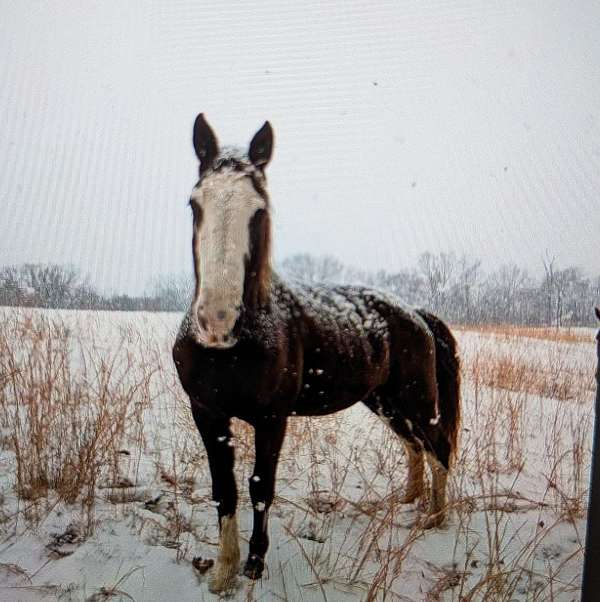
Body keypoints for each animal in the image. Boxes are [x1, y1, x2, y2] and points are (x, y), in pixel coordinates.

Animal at [171, 113, 462, 592]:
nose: (216, 319)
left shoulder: (272, 418)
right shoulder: (208, 414)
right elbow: (224, 490)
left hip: (416, 400)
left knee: (436, 445)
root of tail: (415, 314)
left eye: (260, 209)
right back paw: (407, 501)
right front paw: (224, 571)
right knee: (413, 446)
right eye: (195, 204)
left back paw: (435, 519)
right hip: (384, 402)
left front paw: (255, 565)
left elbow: (260, 486)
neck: (236, 346)